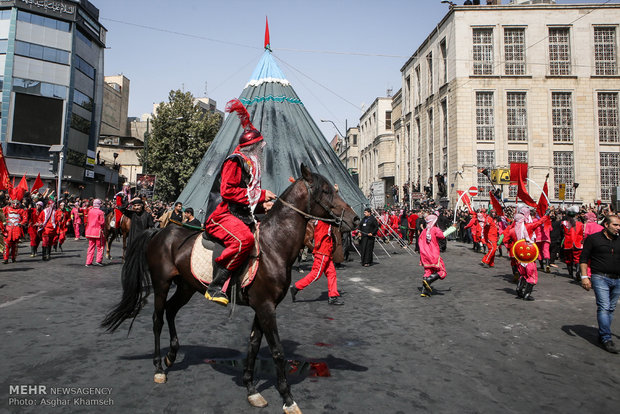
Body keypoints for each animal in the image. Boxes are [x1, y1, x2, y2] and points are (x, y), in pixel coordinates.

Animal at [101, 164, 358, 410]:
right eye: (326, 191)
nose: (355, 219)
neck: (274, 245)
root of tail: (159, 230)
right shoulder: (266, 307)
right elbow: (277, 351)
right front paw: (287, 399)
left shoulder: (262, 306)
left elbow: (254, 345)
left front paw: (251, 389)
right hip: (161, 283)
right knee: (157, 319)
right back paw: (158, 368)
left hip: (186, 286)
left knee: (171, 311)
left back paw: (171, 356)